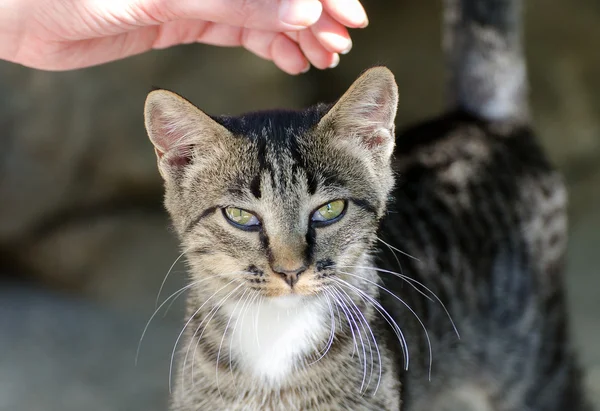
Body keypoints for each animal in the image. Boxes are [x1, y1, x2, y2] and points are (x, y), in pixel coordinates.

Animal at [143, 0, 588, 410]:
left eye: (330, 210)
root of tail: (480, 121)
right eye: (240, 216)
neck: (276, 341)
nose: (290, 271)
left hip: (537, 367)